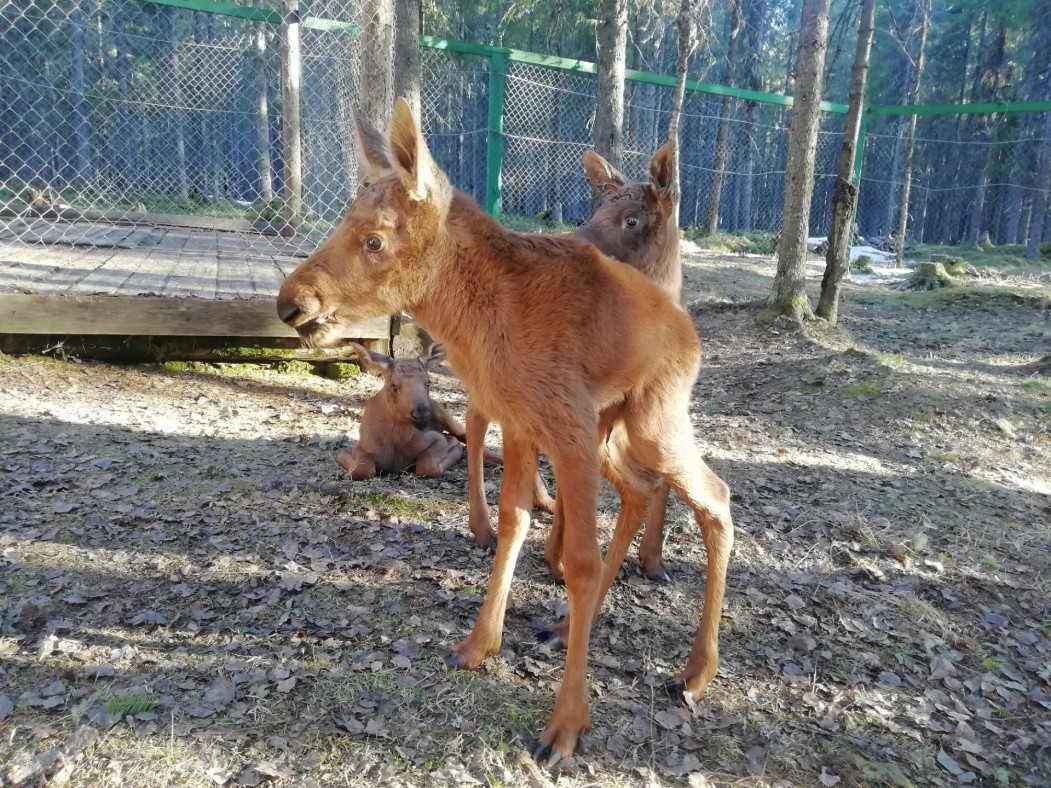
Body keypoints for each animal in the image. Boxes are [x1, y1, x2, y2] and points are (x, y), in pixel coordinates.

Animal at [336, 340, 487, 479]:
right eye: (393, 386)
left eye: (428, 383)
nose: (422, 414)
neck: (396, 442)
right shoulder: (362, 446)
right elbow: (360, 469)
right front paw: (342, 453)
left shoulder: (436, 439)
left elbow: (428, 466)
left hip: (445, 416)